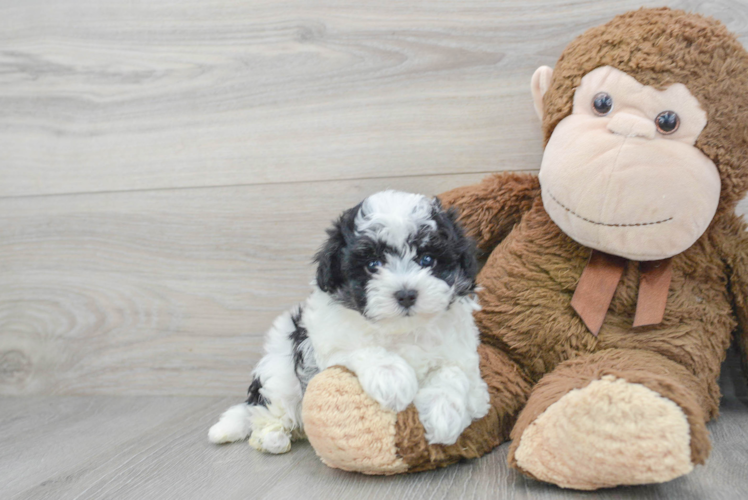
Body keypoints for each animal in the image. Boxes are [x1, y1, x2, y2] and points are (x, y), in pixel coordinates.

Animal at [210, 190, 490, 454]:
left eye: (427, 259)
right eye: (372, 264)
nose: (406, 294)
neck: (401, 330)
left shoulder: (461, 353)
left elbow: (453, 373)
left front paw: (444, 413)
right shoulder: (329, 342)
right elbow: (362, 348)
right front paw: (392, 377)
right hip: (279, 370)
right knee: (268, 407)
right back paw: (272, 437)